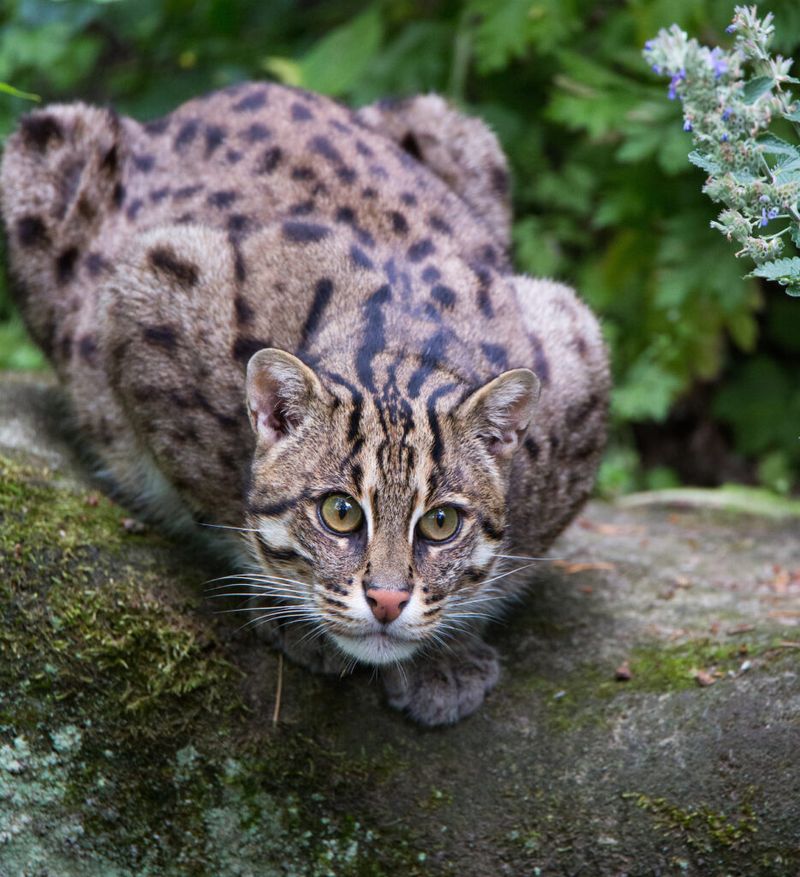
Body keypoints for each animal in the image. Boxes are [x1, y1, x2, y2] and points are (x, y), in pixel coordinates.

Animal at [0, 84, 608, 724]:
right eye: (339, 513)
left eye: (442, 523)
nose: (387, 601)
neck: (401, 354)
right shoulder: (149, 292)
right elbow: (221, 502)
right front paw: (293, 614)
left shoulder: (579, 349)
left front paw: (446, 654)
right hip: (44, 140)